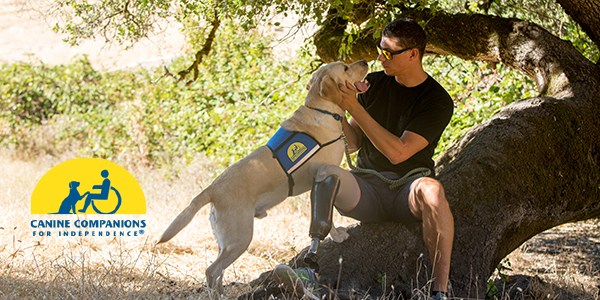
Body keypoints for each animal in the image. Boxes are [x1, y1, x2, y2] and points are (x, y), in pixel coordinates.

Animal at [157, 60, 368, 292]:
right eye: (346, 67)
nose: (365, 61)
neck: (322, 109)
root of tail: (212, 189)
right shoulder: (324, 173)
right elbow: (329, 219)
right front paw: (338, 236)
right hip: (240, 238)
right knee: (212, 271)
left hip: (225, 241)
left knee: (219, 271)